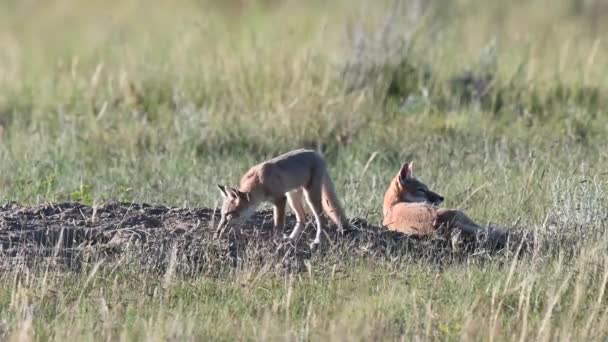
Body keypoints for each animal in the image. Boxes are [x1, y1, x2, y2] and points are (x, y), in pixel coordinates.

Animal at [215, 148, 346, 247]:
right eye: (222, 214)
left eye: (229, 214)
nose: (217, 233)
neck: (258, 181)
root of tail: (315, 153)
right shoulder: (279, 199)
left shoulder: (280, 199)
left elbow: (278, 225)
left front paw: (276, 241)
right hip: (293, 197)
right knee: (302, 219)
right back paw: (291, 239)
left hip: (310, 197)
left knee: (321, 220)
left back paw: (317, 241)